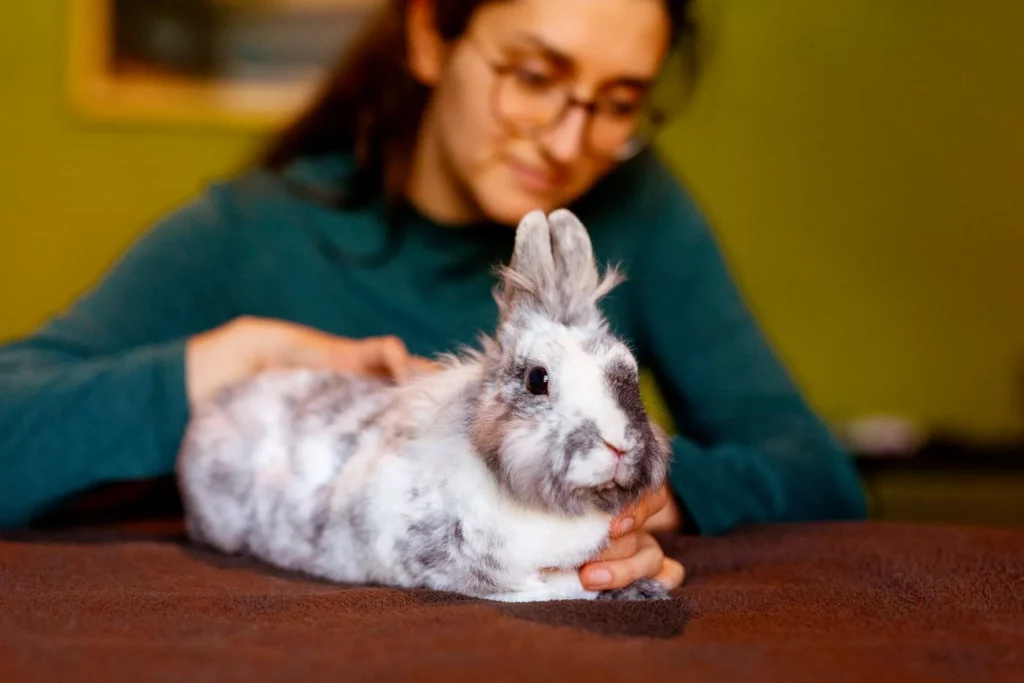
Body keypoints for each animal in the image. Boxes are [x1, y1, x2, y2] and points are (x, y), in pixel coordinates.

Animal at [176, 208, 673, 603]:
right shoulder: (477, 573)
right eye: (538, 380)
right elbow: (557, 588)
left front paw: (645, 590)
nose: (618, 445)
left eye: (629, 370)